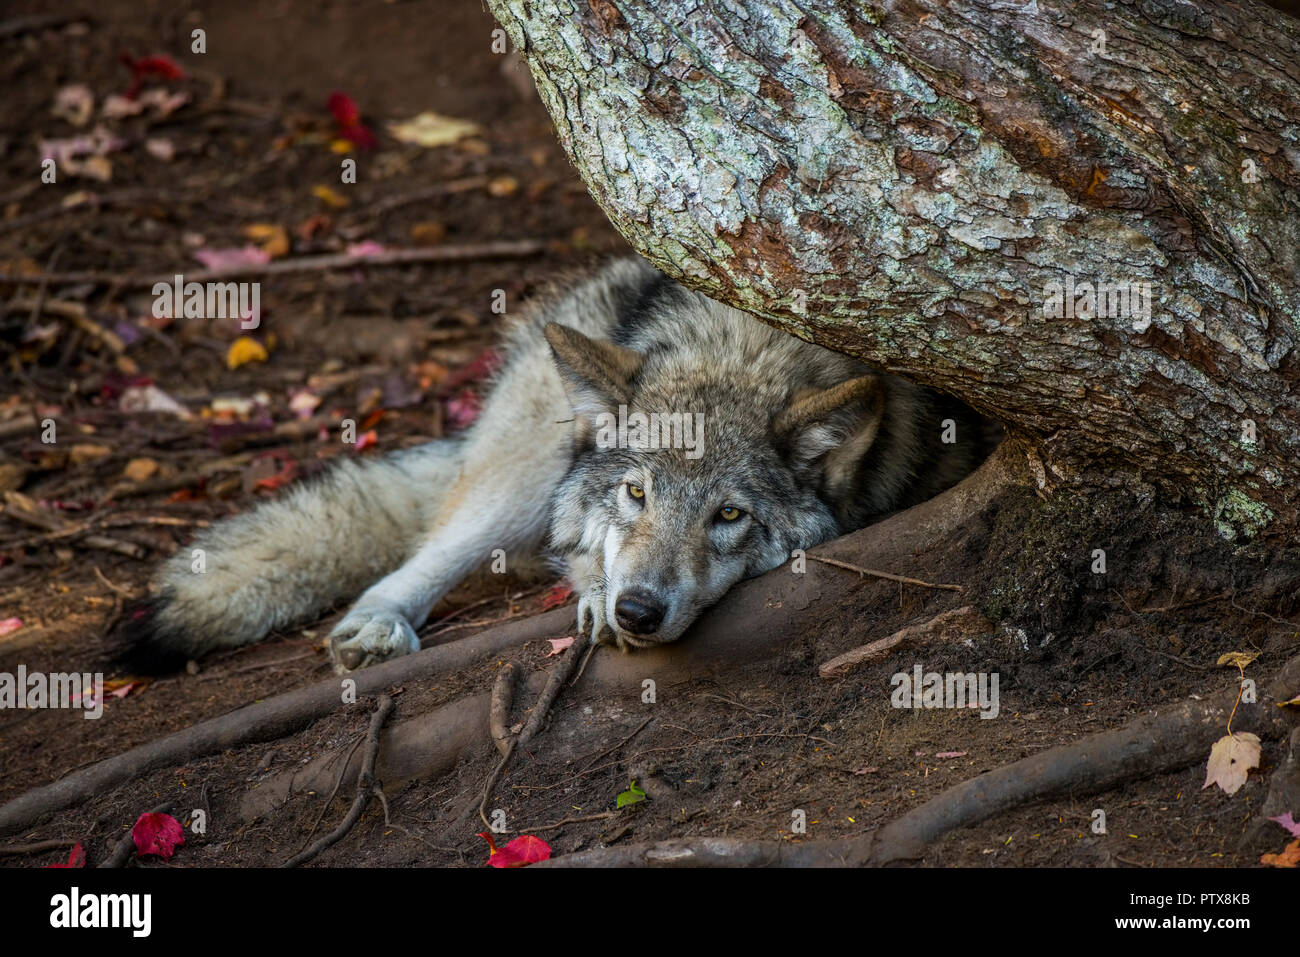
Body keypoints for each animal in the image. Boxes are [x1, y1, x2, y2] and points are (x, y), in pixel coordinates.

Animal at [114, 254, 982, 670]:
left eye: (729, 515)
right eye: (636, 493)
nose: (638, 611)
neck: (744, 346)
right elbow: (583, 547)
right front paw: (596, 590)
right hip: (521, 470)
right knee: (436, 547)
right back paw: (378, 624)